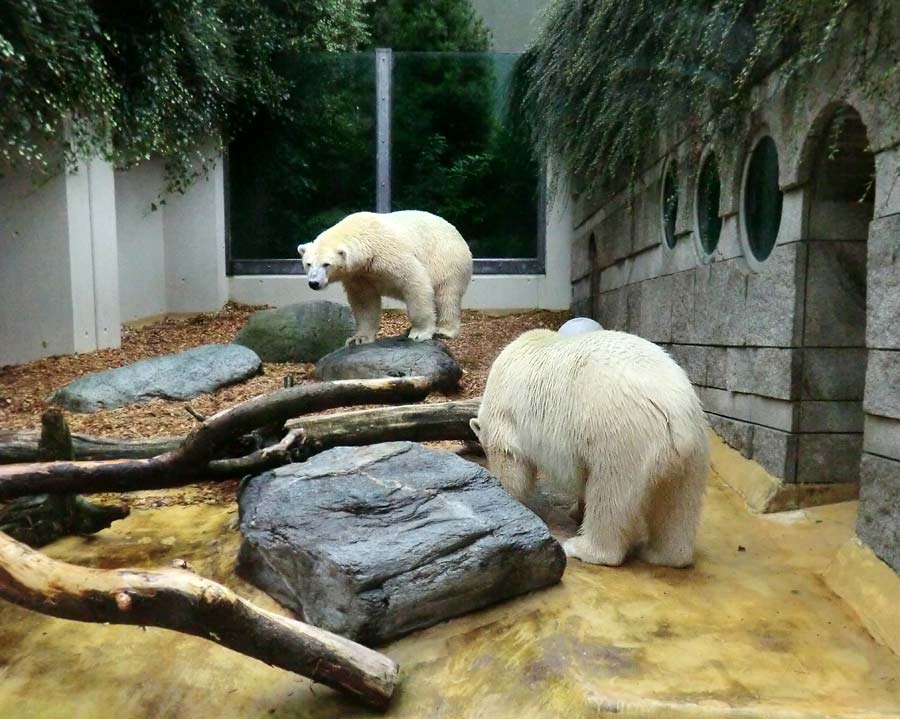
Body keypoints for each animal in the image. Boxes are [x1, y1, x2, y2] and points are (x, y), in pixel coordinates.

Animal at [298, 211, 474, 346]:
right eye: (308, 264)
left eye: (326, 264)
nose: (314, 283)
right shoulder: (359, 275)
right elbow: (364, 302)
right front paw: (358, 339)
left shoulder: (390, 255)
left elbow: (415, 282)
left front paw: (420, 333)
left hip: (447, 259)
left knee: (447, 294)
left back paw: (444, 330)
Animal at [468, 330, 708, 572]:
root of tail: (674, 412)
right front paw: (575, 511)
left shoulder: (505, 412)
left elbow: (510, 461)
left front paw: (506, 494)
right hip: (693, 450)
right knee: (678, 502)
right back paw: (663, 555)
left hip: (621, 436)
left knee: (610, 493)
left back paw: (583, 548)